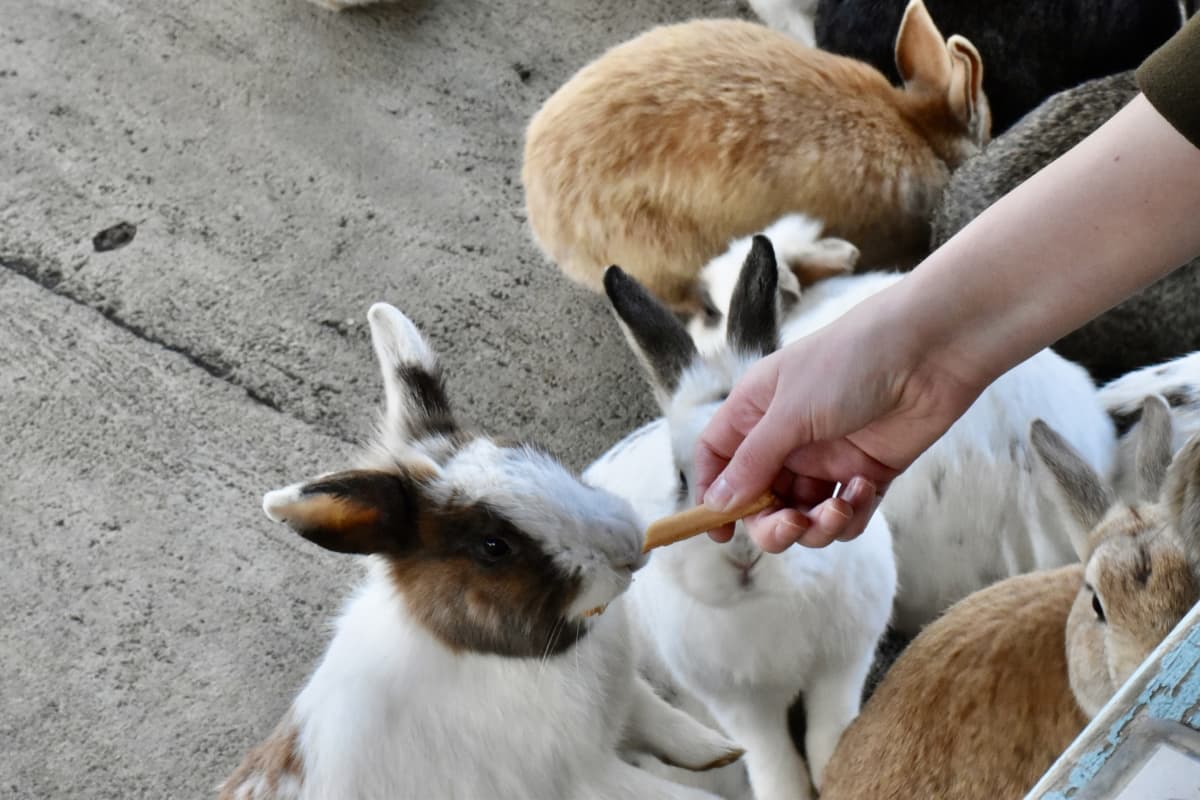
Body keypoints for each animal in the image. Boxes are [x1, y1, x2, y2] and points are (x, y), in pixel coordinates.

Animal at [217, 303, 739, 796]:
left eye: (537, 452)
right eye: (493, 546)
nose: (628, 546)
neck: (492, 656)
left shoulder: (628, 697)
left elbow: (665, 723)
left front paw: (722, 751)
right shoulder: (587, 778)